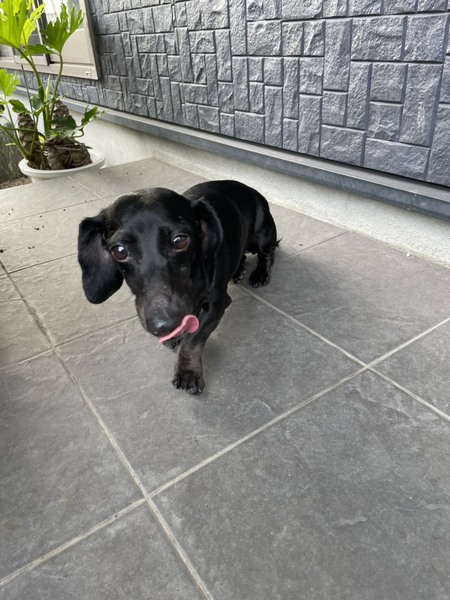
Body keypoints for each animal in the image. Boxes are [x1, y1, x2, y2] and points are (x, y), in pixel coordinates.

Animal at [78, 180, 278, 394]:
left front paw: (187, 372)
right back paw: (239, 269)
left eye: (180, 240)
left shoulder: (217, 304)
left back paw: (261, 273)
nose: (163, 325)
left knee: (268, 254)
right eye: (119, 251)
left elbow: (193, 340)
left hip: (264, 236)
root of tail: (249, 188)